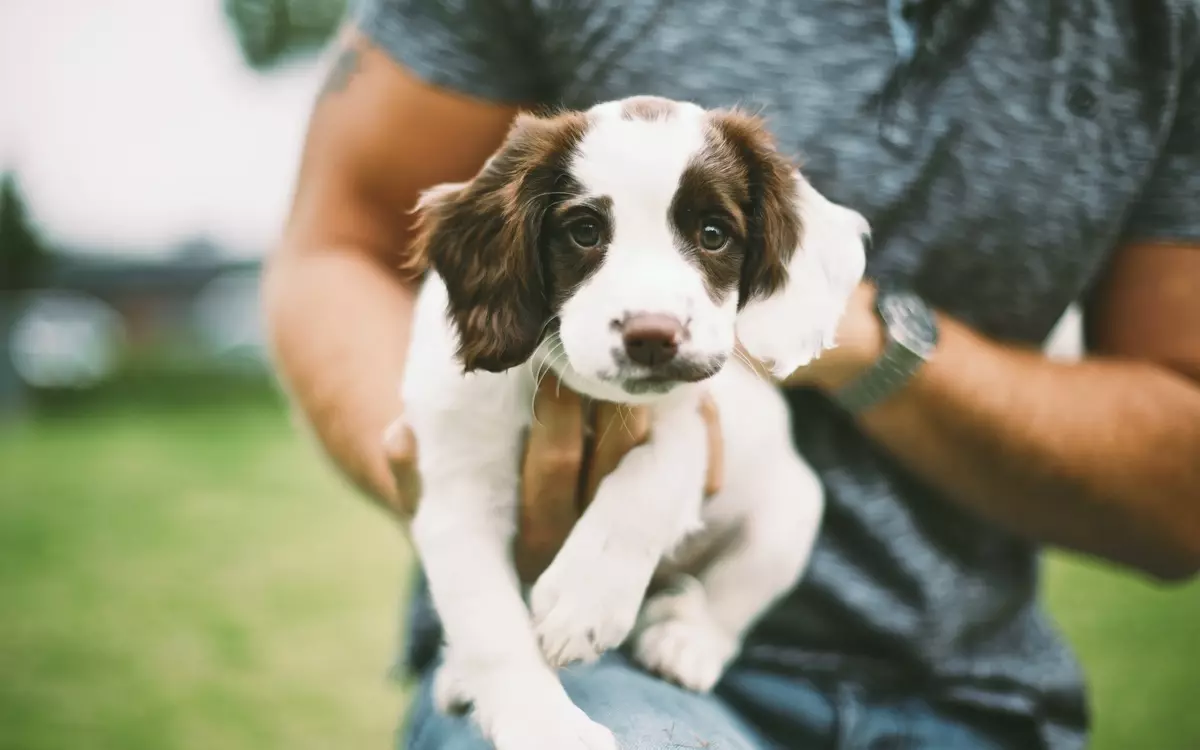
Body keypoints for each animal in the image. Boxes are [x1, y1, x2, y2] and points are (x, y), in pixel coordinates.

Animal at [398, 94, 868, 748]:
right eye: (585, 231)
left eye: (713, 234)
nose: (653, 336)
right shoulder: (456, 494)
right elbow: (491, 627)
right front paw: (546, 725)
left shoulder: (696, 416)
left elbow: (654, 472)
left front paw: (585, 598)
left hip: (792, 509)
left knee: (737, 589)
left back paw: (685, 638)